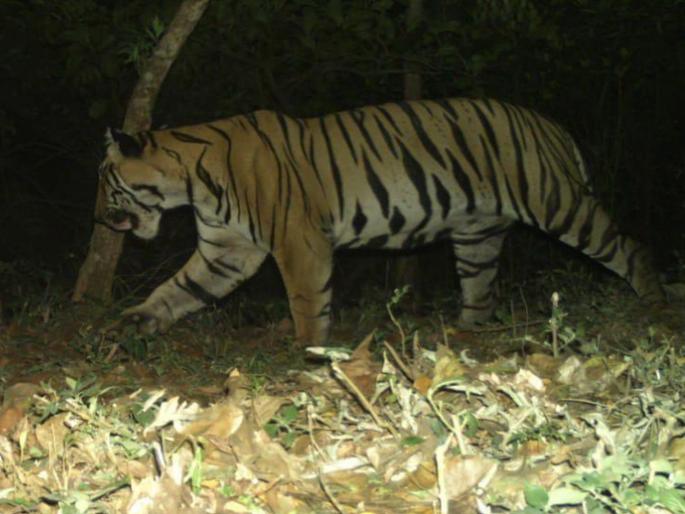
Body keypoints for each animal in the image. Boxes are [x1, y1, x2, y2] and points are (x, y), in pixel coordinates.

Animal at [98, 97, 664, 344]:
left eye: (106, 180)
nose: (99, 218)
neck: (190, 182)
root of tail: (550, 123)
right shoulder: (227, 251)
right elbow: (179, 289)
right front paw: (135, 321)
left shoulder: (298, 243)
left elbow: (307, 301)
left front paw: (309, 351)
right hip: (477, 235)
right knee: (481, 290)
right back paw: (463, 333)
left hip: (557, 203)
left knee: (629, 247)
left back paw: (654, 303)